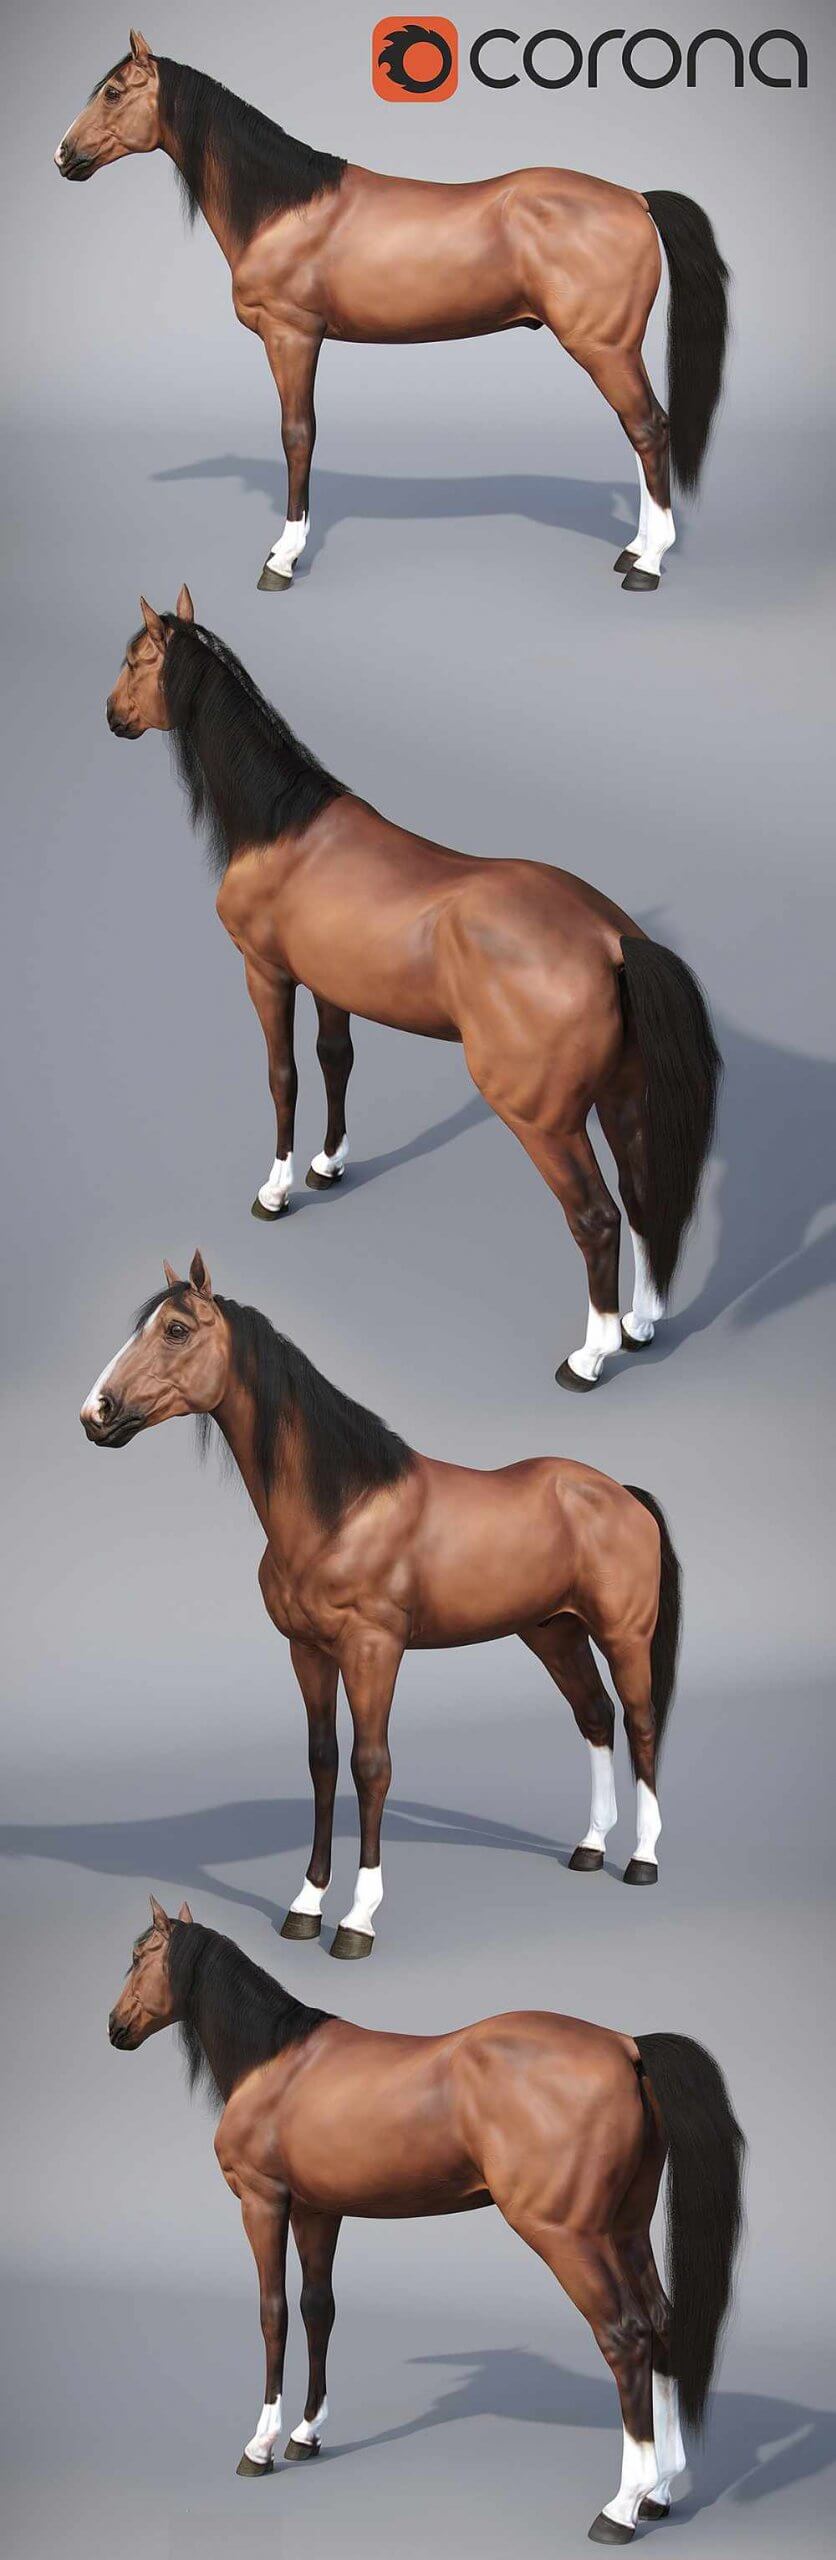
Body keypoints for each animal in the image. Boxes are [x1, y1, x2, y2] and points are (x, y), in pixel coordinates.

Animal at [55, 32, 730, 595]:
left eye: (112, 92)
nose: (63, 157)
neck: (282, 207)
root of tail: (636, 199)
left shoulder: (291, 335)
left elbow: (297, 435)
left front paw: (282, 558)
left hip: (603, 345)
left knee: (649, 429)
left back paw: (648, 564)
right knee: (640, 432)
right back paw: (634, 548)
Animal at [81, 1252, 684, 1947]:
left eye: (176, 1330)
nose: (95, 1412)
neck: (342, 1509)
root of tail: (622, 1493)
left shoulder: (374, 1651)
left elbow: (371, 1766)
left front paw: (357, 1918)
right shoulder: (308, 1651)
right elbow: (322, 1762)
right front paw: (306, 1905)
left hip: (623, 1636)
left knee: (640, 1722)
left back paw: (643, 1860)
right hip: (553, 1632)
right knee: (595, 1717)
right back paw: (589, 1848)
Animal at [105, 594, 722, 1391]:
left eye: (134, 660)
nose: (111, 715)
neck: (283, 830)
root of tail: (612, 941)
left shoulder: (265, 974)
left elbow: (284, 1076)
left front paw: (276, 1190)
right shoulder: (330, 984)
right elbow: (335, 1062)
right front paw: (328, 1165)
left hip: (544, 1121)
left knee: (598, 1218)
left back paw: (590, 1356)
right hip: (622, 1097)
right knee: (646, 1197)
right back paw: (641, 1326)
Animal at [107, 1897, 745, 2538]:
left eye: (140, 1956)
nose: (115, 2028)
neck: (274, 2060)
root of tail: (626, 2047)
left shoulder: (262, 2202)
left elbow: (274, 2315)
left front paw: (260, 2446)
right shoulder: (318, 2210)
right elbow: (318, 2310)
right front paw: (307, 2434)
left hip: (568, 2236)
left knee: (626, 2336)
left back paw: (622, 2506)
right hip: (626, 2230)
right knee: (662, 2326)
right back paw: (659, 2492)